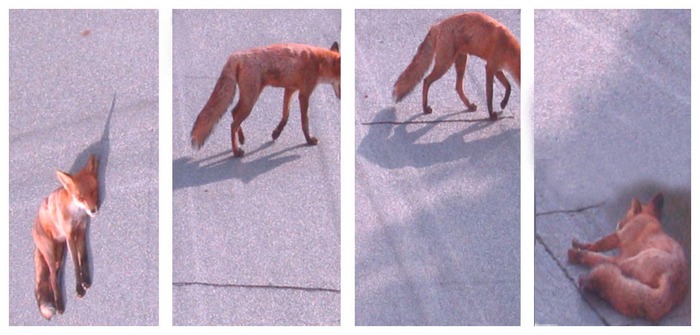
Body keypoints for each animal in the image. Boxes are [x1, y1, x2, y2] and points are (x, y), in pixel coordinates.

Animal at [32, 156, 99, 320]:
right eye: (81, 197)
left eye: (94, 192)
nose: (93, 210)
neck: (76, 214)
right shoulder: (70, 235)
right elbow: (75, 263)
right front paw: (79, 288)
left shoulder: (80, 231)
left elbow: (83, 257)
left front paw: (86, 279)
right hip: (50, 252)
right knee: (51, 277)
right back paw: (59, 305)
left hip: (60, 254)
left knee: (54, 277)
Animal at [190, 42, 340, 158]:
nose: (341, 98)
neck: (319, 62)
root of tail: (236, 56)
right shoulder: (304, 94)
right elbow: (305, 122)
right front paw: (309, 140)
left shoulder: (290, 89)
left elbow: (285, 116)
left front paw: (276, 133)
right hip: (251, 100)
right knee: (233, 124)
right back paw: (236, 152)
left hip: (249, 98)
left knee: (234, 113)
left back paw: (241, 139)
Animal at [568, 193, 688, 322]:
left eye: (627, 215)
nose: (618, 223)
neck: (647, 217)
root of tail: (673, 279)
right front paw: (580, 245)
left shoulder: (620, 238)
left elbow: (597, 245)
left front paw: (580, 247)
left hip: (628, 261)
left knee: (610, 267)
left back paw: (580, 262)